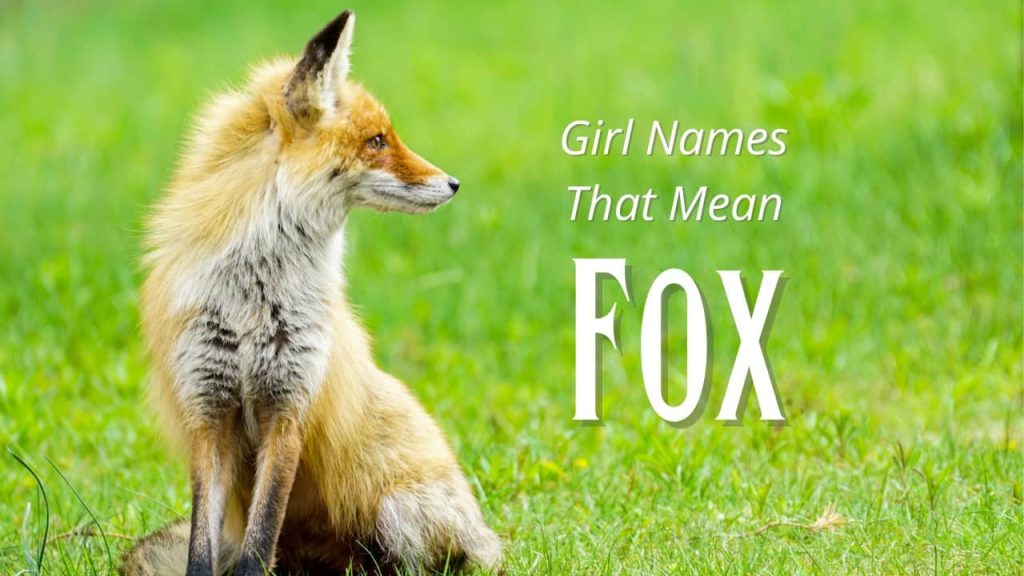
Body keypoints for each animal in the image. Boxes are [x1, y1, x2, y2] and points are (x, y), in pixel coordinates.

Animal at [120, 9, 501, 576]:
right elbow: (201, 550)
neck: (253, 298)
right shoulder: (208, 411)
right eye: (377, 141)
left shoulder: (288, 407)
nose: (453, 183)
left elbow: (261, 541)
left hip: (400, 512)